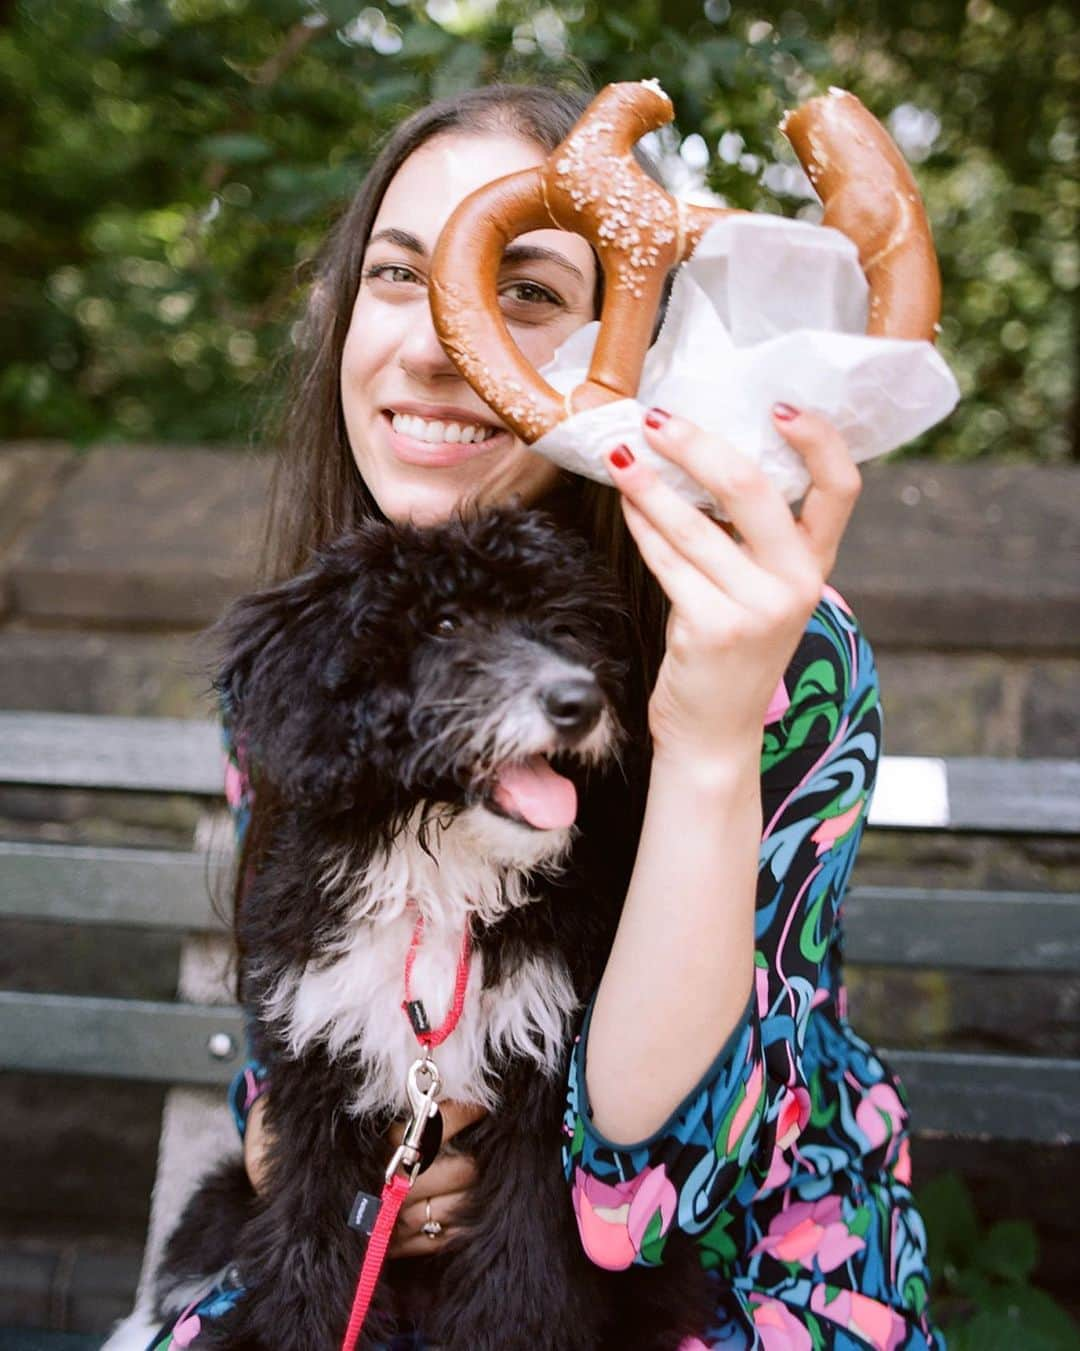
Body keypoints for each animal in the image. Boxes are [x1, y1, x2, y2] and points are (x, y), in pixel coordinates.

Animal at [120, 507, 708, 1351]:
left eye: (562, 626)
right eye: (444, 622)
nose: (579, 702)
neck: (439, 875)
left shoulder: (539, 1098)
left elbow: (519, 1270)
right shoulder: (315, 1075)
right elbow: (311, 1247)